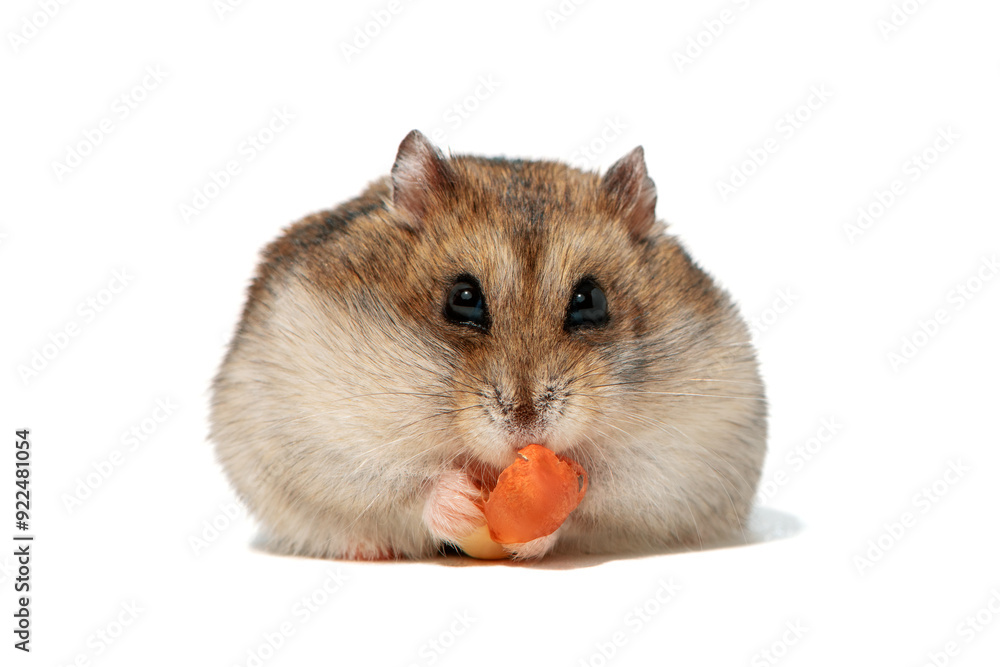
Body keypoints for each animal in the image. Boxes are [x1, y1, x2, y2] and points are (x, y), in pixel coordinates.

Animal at [210, 130, 767, 560]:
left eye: (590, 299)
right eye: (463, 298)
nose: (526, 425)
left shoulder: (688, 452)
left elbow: (601, 495)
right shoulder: (325, 438)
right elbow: (404, 486)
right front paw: (460, 502)